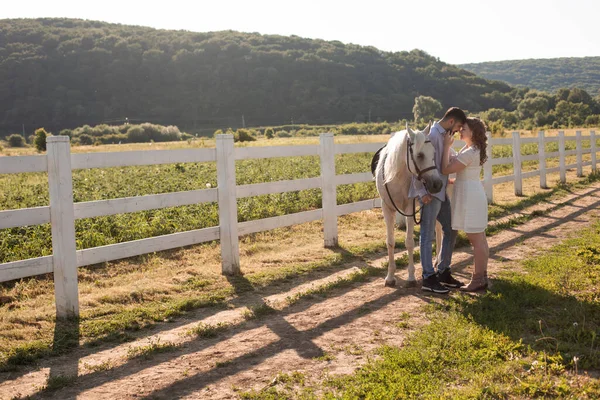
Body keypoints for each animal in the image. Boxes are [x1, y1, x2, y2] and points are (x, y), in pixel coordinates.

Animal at [376, 122, 446, 288]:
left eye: (433, 152)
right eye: (419, 155)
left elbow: (409, 242)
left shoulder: (409, 209)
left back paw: (438, 261)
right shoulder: (387, 209)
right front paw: (390, 277)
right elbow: (390, 242)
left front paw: (411, 277)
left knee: (440, 229)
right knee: (437, 229)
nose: (437, 184)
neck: (396, 177)